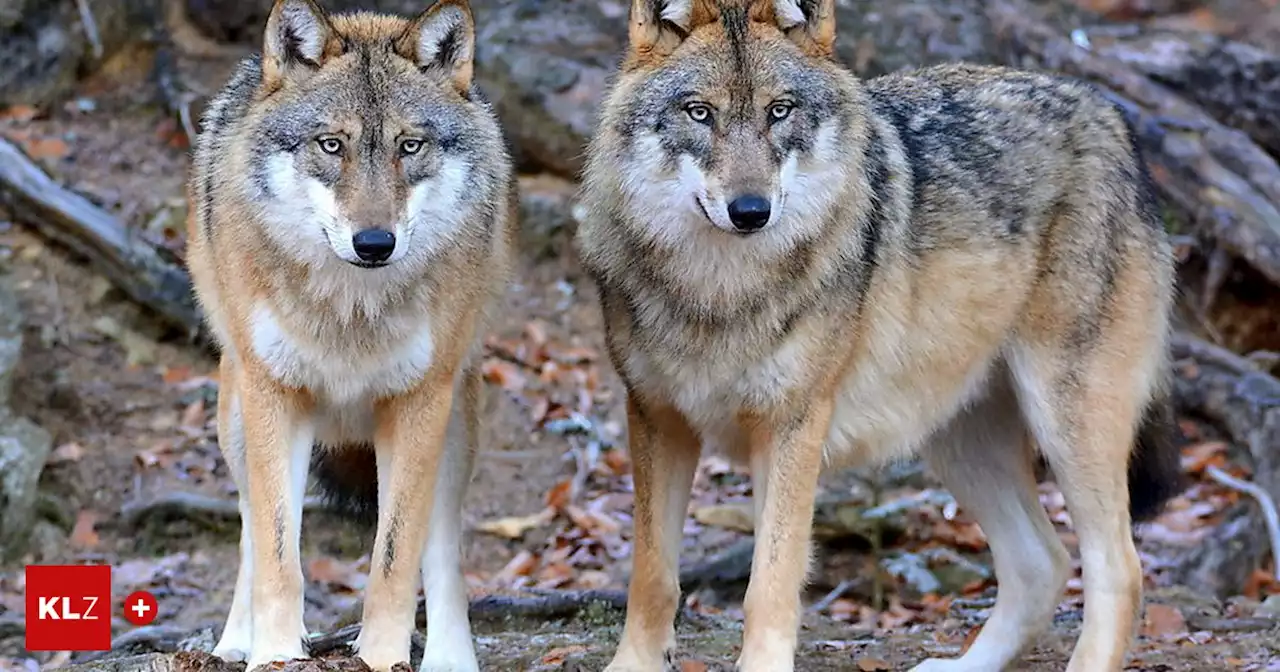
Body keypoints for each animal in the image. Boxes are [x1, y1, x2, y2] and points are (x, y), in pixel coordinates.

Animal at [185, 1, 514, 670]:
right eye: (331, 145)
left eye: (409, 146)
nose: (374, 243)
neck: (349, 313)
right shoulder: (274, 395)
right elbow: (277, 552)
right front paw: (273, 654)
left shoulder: (417, 403)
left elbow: (394, 561)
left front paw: (382, 658)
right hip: (236, 417)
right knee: (249, 527)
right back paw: (233, 641)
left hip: (454, 427)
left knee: (441, 549)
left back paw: (450, 657)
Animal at [576, 1, 1182, 670]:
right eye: (699, 112)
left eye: (779, 110)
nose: (751, 211)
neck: (719, 294)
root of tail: (1106, 111)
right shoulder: (656, 416)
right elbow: (652, 576)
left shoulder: (791, 426)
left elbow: (770, 584)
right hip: (960, 441)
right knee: (1042, 564)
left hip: (1066, 424)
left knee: (1118, 569)